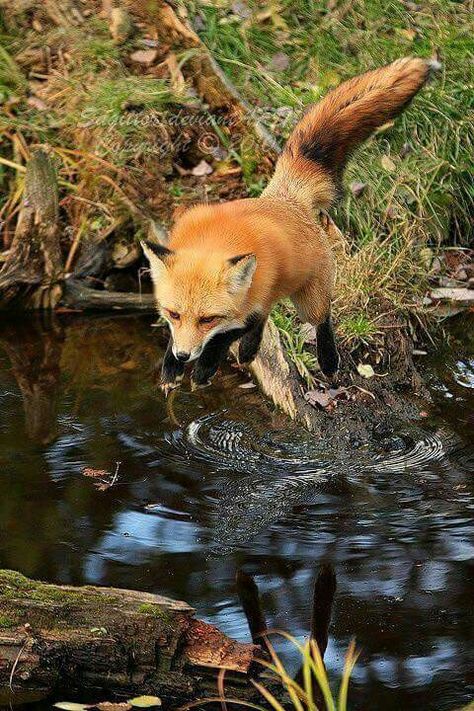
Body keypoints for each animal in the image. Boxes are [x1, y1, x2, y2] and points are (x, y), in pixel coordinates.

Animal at [143, 56, 438, 392]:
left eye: (208, 319)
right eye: (174, 313)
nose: (184, 355)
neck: (218, 239)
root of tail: (286, 197)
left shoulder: (249, 304)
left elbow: (225, 336)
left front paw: (204, 368)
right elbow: (193, 332)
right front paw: (171, 368)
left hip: (309, 299)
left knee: (319, 318)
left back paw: (328, 360)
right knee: (265, 319)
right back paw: (249, 351)